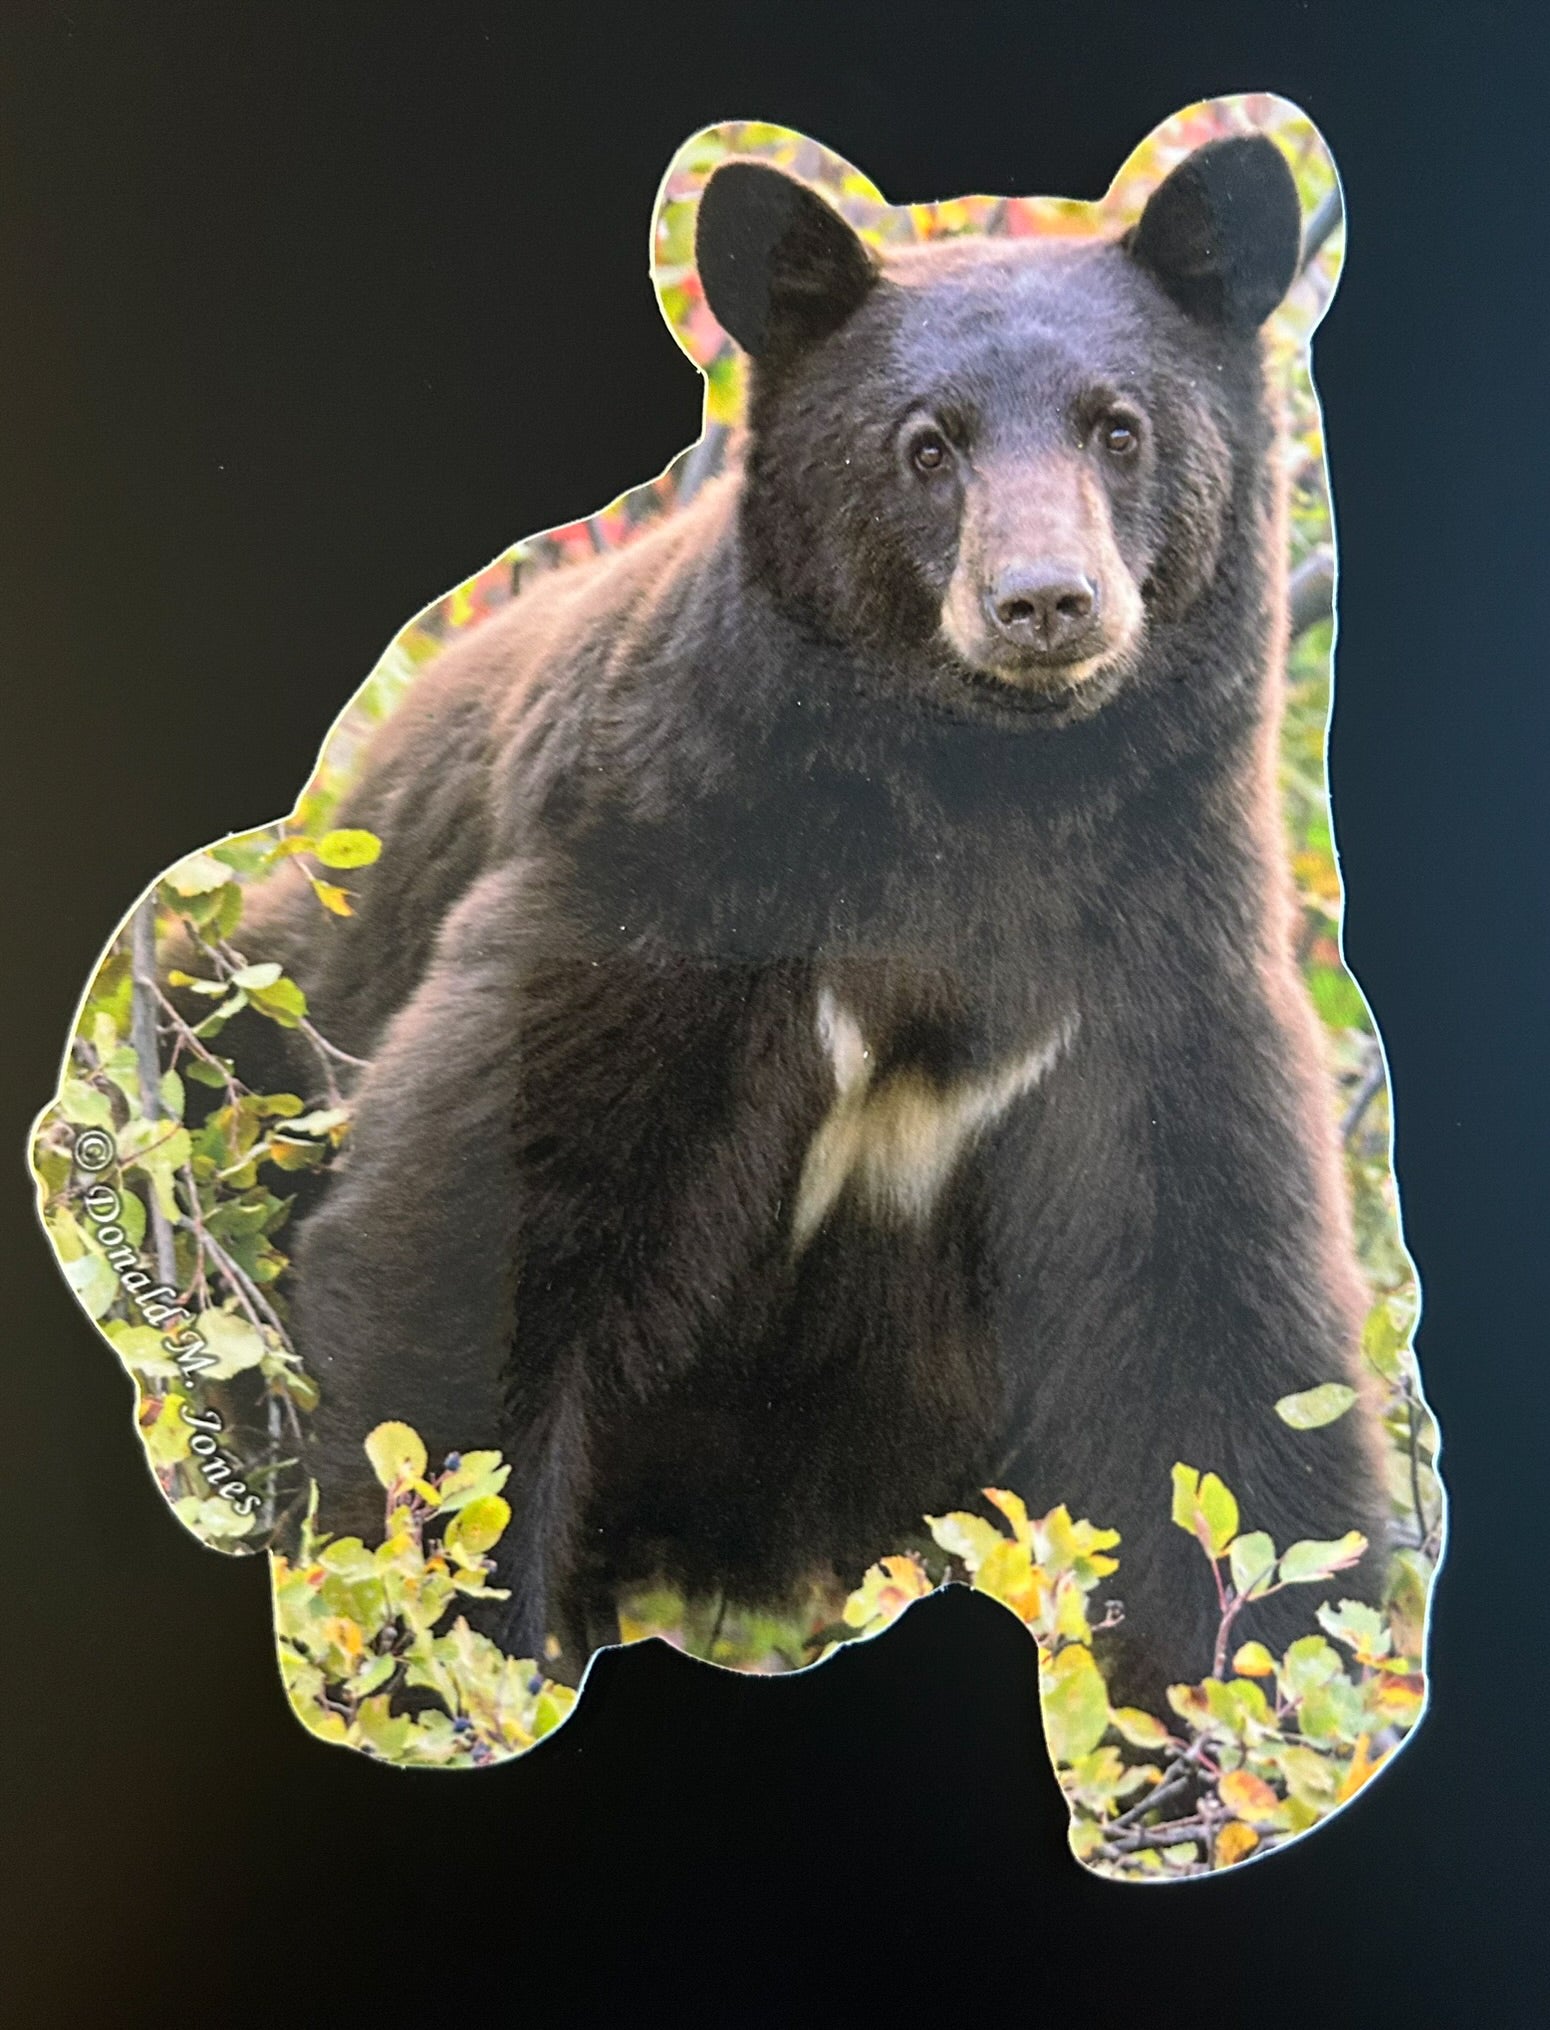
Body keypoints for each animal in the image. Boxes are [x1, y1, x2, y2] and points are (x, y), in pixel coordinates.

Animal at [225, 132, 1387, 1710]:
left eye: (1119, 428)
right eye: (925, 444)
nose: (1044, 602)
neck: (980, 808)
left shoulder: (1153, 962)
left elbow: (1221, 1373)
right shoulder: (668, 872)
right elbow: (474, 1256)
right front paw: (448, 1682)